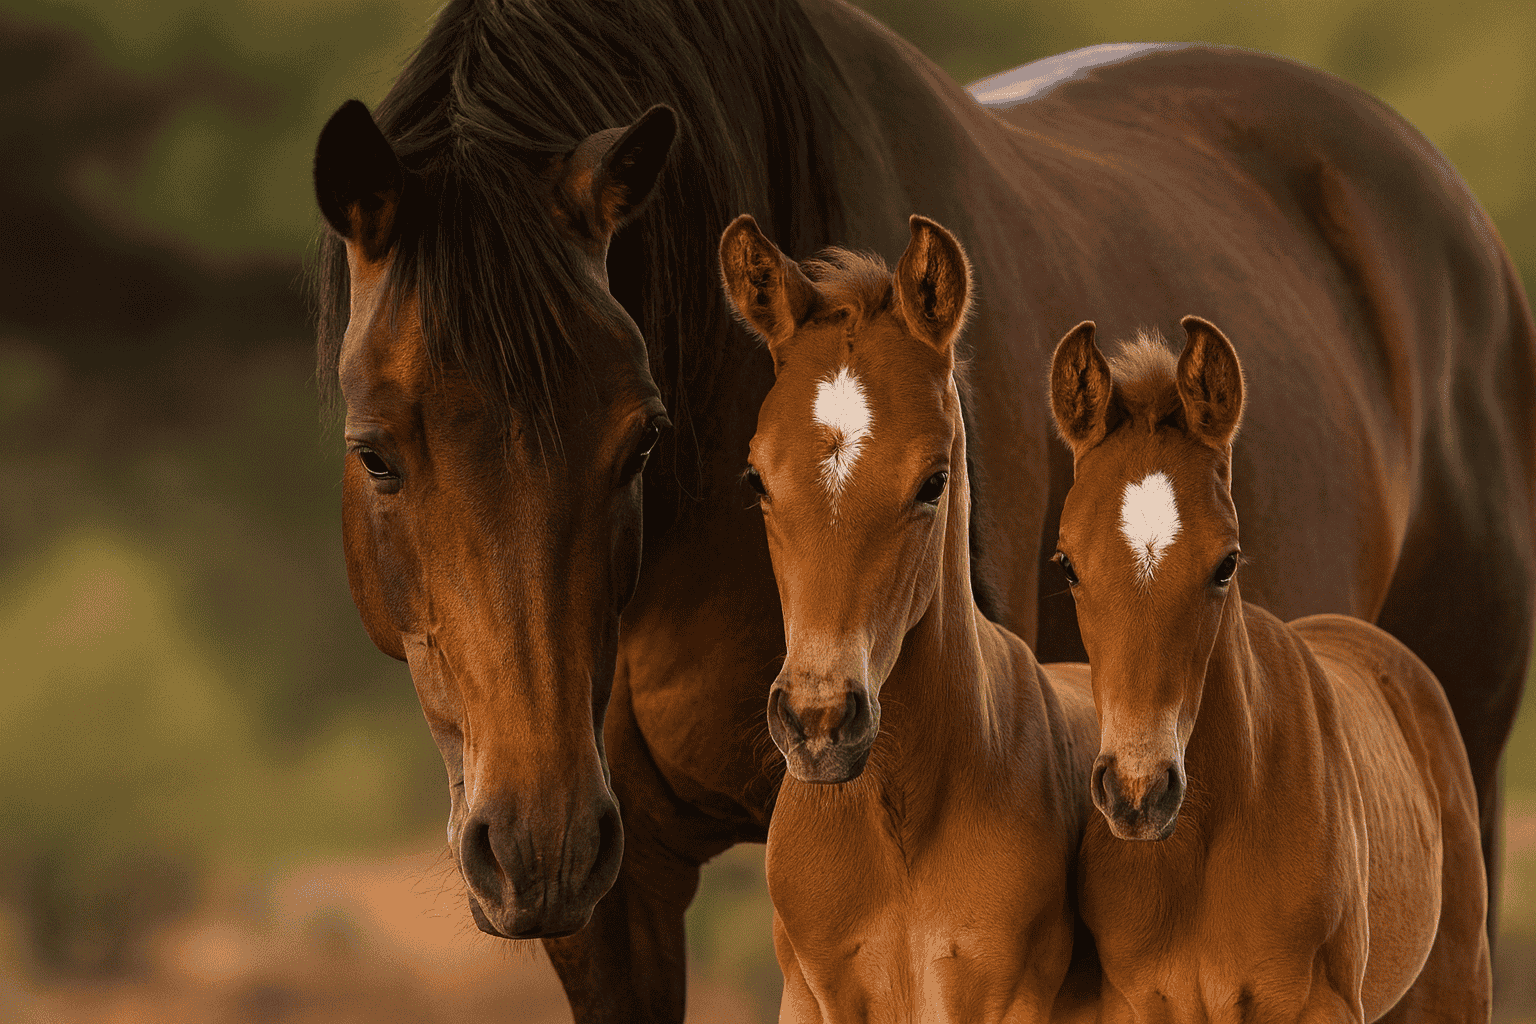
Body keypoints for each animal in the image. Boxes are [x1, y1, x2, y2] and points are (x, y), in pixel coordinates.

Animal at [1050, 318, 1490, 1022]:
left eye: (1226, 562)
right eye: (1067, 563)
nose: (1139, 793)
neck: (1197, 848)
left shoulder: (1318, 1004)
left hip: (1454, 980)